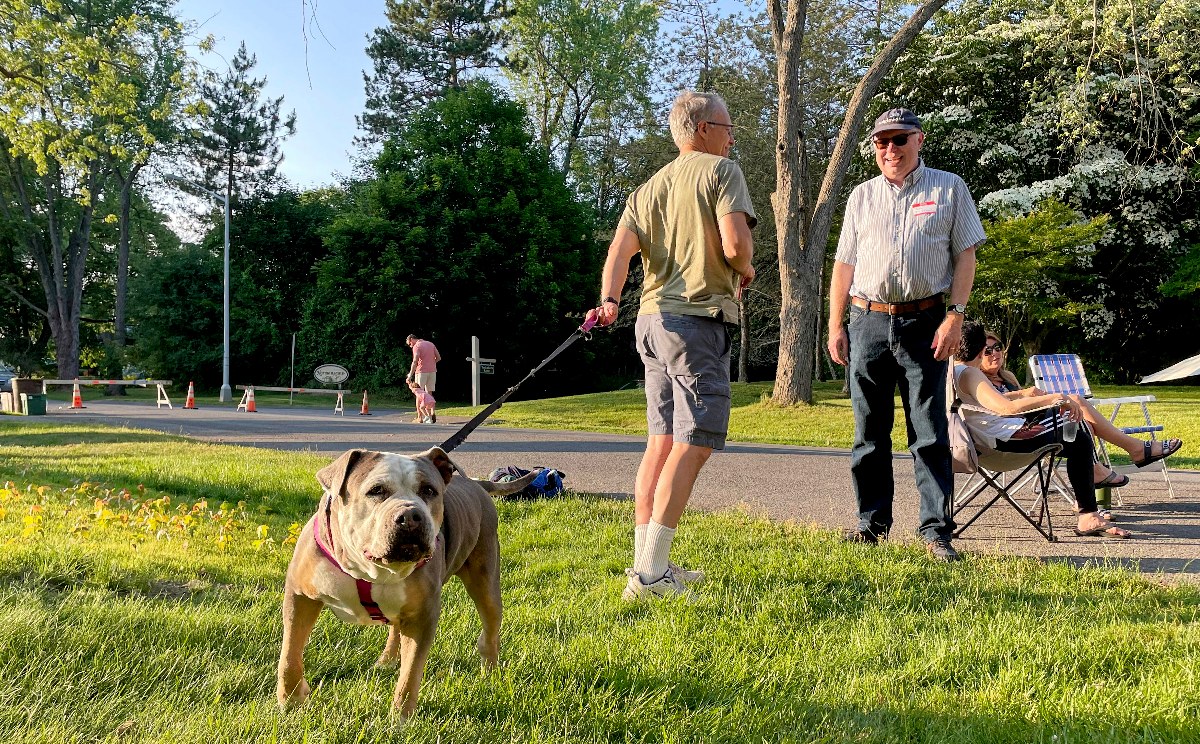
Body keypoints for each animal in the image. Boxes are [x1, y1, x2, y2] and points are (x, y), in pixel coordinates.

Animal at [276, 444, 535, 720]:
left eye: (429, 491)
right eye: (376, 490)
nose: (411, 515)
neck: (371, 570)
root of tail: (477, 484)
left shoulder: (422, 615)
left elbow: (410, 673)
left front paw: (400, 718)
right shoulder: (300, 596)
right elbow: (290, 653)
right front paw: (291, 700)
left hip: (486, 581)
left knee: (490, 629)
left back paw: (490, 675)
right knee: (395, 629)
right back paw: (386, 661)